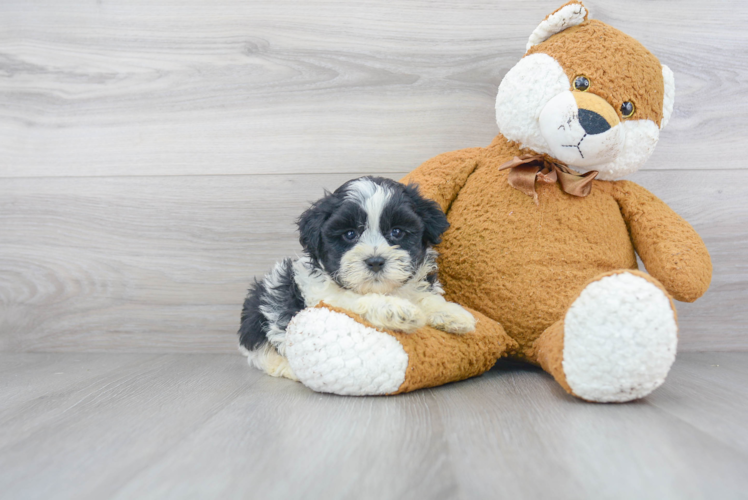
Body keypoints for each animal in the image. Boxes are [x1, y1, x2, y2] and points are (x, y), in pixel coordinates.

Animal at [237, 176, 476, 378]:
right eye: (350, 234)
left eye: (397, 232)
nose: (375, 261)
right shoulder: (324, 297)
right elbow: (357, 300)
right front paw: (395, 310)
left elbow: (427, 298)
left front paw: (452, 314)